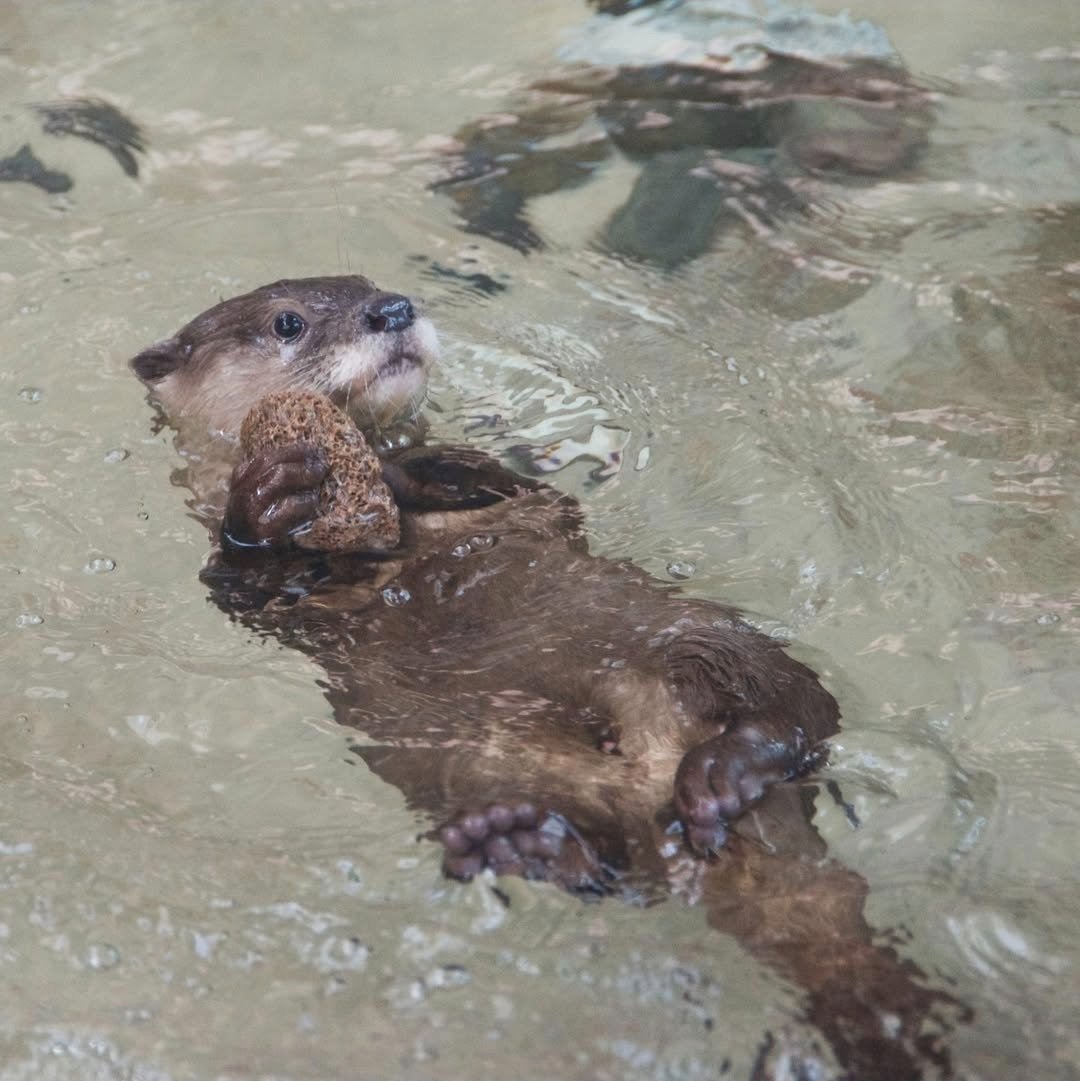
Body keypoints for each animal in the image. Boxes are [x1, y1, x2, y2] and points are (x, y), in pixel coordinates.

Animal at [132, 275, 963, 1078]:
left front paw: (408, 469)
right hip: (478, 766)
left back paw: (729, 766)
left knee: (799, 711)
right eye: (289, 322)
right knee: (610, 867)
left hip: (704, 639)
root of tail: (662, 792)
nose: (392, 309)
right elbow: (242, 583)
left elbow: (502, 482)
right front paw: (272, 494)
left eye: (367, 282)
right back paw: (525, 842)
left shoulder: (519, 492)